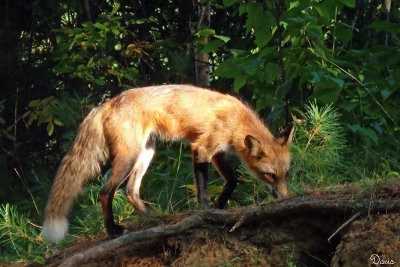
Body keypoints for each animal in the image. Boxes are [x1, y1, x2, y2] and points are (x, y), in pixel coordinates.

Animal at [42, 85, 294, 244]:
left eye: (286, 174)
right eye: (270, 175)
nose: (285, 198)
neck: (237, 121)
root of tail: (106, 104)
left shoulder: (217, 153)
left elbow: (232, 180)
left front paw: (220, 205)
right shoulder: (201, 149)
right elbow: (202, 188)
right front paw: (205, 210)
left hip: (147, 152)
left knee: (131, 191)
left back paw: (153, 218)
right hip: (130, 156)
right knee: (106, 192)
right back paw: (113, 231)